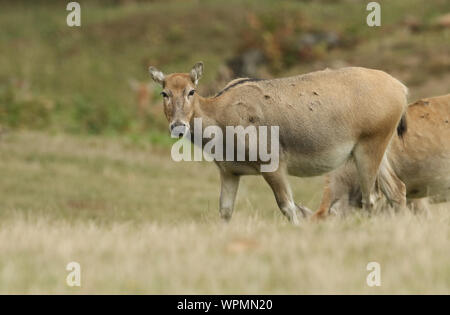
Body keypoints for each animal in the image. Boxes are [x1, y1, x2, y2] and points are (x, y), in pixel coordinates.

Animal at [149, 62, 410, 225]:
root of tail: (402, 89)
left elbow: (288, 207)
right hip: (377, 144)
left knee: (371, 197)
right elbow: (225, 211)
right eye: (164, 93)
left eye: (191, 91)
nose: (178, 126)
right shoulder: (229, 171)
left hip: (371, 142)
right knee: (396, 189)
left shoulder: (272, 161)